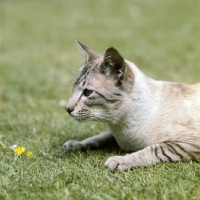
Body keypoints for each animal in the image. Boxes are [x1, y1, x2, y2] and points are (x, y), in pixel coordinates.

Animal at [63, 40, 200, 170]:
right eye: (73, 88)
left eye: (88, 92)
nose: (67, 109)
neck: (119, 129)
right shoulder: (113, 135)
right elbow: (98, 138)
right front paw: (74, 144)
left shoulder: (189, 143)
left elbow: (154, 149)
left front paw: (119, 160)